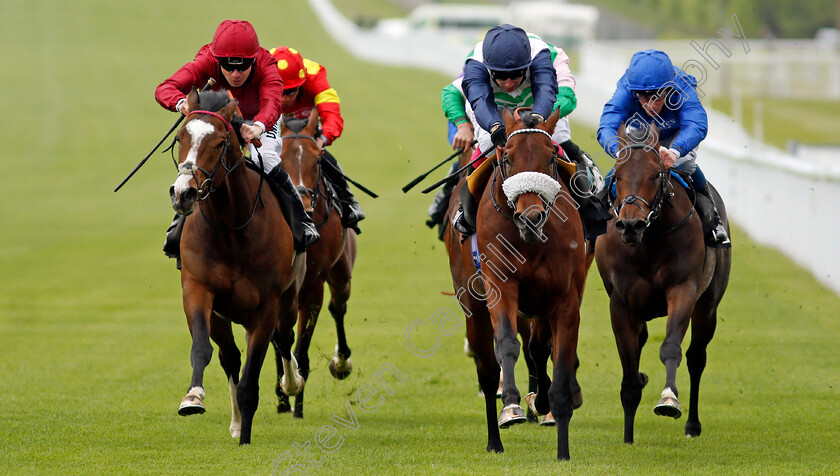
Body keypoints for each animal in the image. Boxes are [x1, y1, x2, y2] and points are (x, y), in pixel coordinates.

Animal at [168, 90, 306, 446]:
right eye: (181, 137)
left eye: (219, 143)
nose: (184, 193)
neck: (231, 227)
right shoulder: (198, 290)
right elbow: (203, 349)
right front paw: (193, 398)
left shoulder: (266, 305)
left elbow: (251, 379)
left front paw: (245, 438)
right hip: (223, 315)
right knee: (230, 356)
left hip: (289, 297)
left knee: (284, 338)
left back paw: (292, 382)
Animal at [274, 109, 356, 418]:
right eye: (279, 156)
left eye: (318, 159)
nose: (306, 207)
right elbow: (279, 342)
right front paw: (282, 398)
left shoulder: (313, 284)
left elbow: (301, 347)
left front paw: (297, 404)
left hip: (341, 272)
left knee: (338, 307)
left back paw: (341, 363)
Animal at [442, 109, 588, 462]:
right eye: (507, 158)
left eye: (551, 158)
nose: (531, 217)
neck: (530, 242)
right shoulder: (500, 286)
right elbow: (507, 343)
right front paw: (512, 404)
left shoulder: (564, 298)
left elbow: (558, 358)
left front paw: (562, 441)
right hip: (474, 309)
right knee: (487, 367)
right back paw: (495, 439)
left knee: (539, 348)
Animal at [592, 122, 732, 442]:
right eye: (618, 175)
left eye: (656, 173)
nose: (631, 225)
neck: (649, 240)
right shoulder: (621, 304)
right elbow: (629, 372)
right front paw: (628, 435)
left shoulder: (683, 290)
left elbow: (671, 348)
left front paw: (668, 399)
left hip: (708, 306)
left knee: (696, 358)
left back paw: (692, 425)